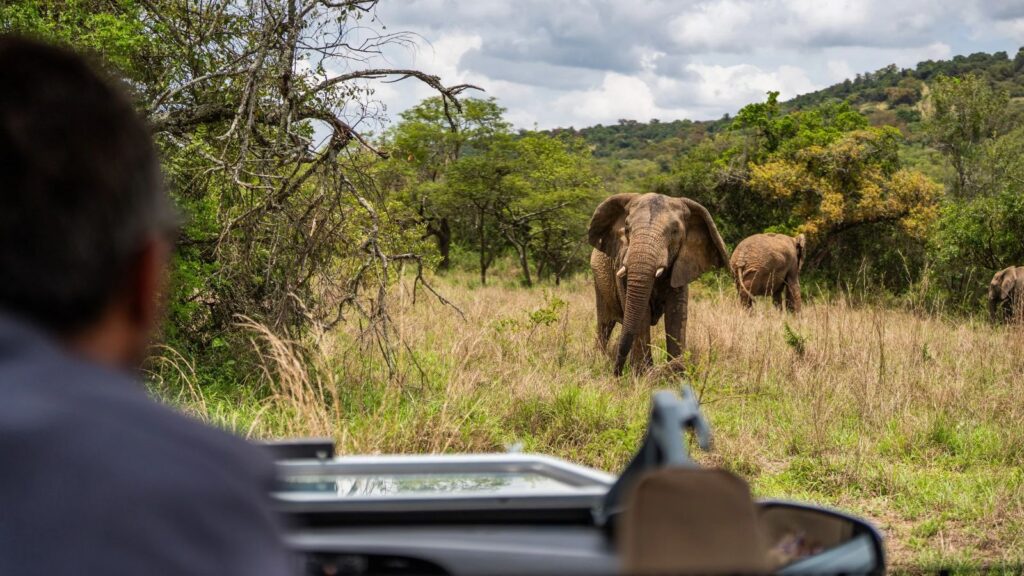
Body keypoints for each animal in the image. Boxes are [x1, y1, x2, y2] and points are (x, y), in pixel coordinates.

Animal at [588, 193, 730, 376]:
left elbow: (676, 312)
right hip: (599, 277)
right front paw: (643, 374)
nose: (616, 373)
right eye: (627, 228)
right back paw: (599, 359)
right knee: (605, 323)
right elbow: (642, 313)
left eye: (675, 231)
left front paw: (676, 373)